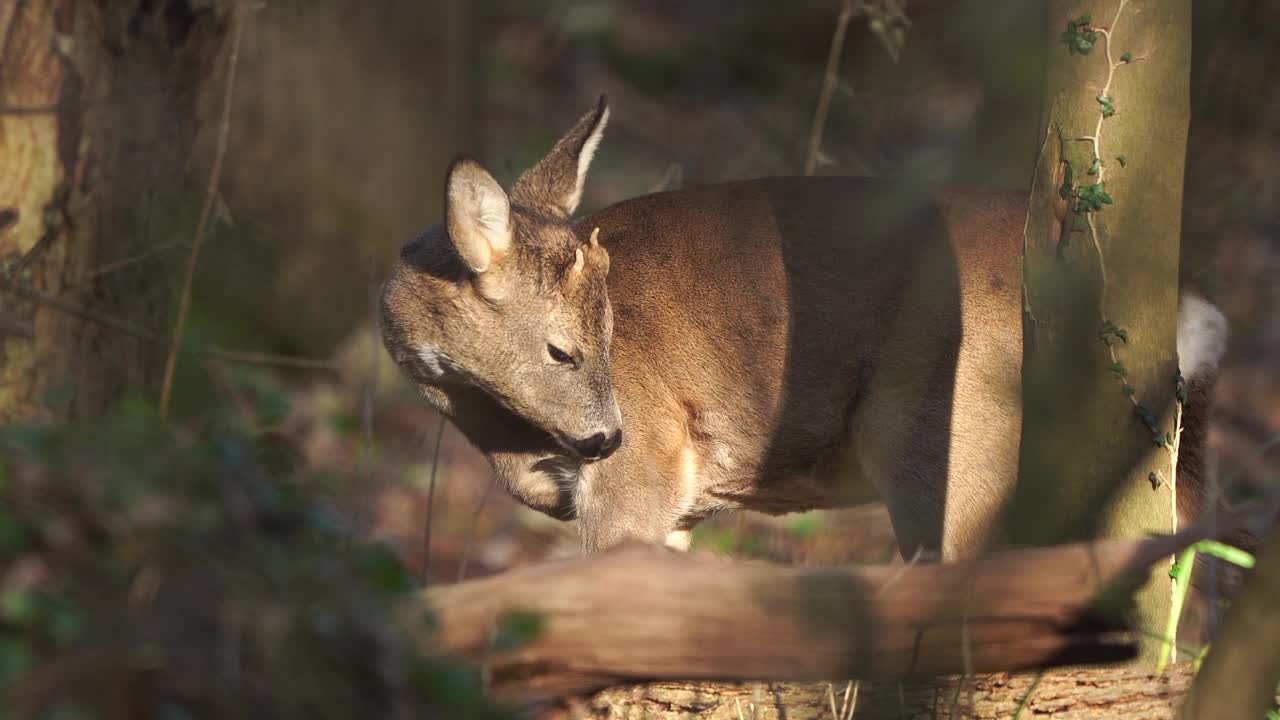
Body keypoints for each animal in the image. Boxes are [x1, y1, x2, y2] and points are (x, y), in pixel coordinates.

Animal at [376, 96, 1228, 566]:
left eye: (608, 334)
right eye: (562, 347)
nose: (606, 436)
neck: (501, 437)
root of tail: (1193, 318)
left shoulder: (645, 479)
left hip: (955, 451)